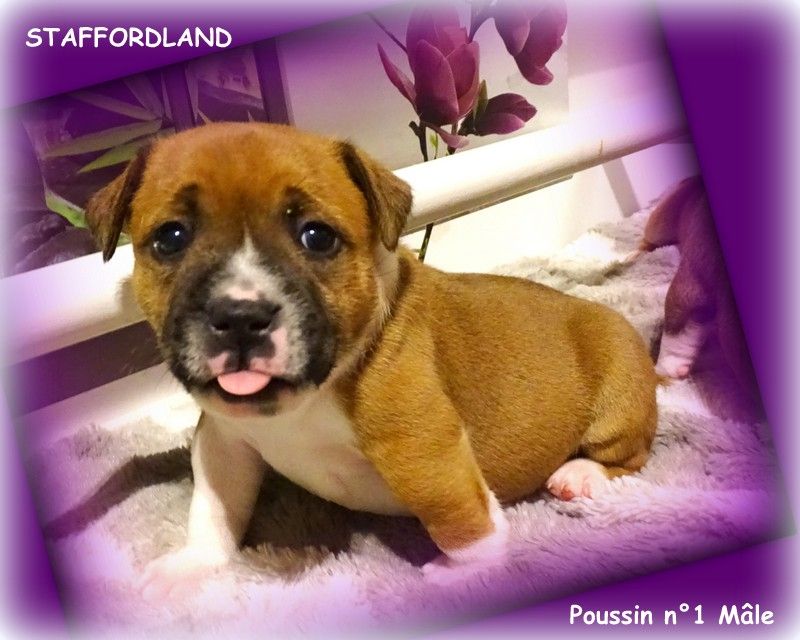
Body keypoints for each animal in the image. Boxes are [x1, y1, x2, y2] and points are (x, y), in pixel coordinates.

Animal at [85, 122, 657, 595]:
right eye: (170, 238)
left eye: (316, 236)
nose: (241, 315)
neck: (303, 401)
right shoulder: (224, 439)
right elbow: (214, 508)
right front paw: (196, 564)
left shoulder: (420, 446)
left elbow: (457, 514)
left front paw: (469, 569)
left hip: (619, 395)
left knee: (630, 458)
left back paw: (580, 475)